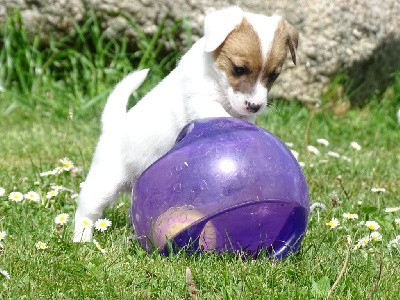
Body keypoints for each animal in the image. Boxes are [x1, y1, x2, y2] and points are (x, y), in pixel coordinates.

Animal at [73, 6, 298, 241]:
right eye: (239, 69)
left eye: (273, 75)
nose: (255, 106)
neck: (214, 77)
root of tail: (114, 124)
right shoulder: (201, 102)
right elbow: (222, 116)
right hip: (104, 182)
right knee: (86, 211)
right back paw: (82, 239)